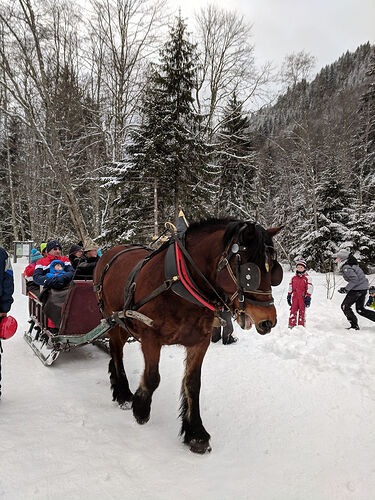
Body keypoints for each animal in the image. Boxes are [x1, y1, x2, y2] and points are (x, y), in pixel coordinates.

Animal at [94, 219, 282, 454]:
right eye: (250, 272)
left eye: (274, 270)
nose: (268, 321)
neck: (180, 285)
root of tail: (112, 251)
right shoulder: (150, 337)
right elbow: (153, 378)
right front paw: (140, 408)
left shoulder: (200, 342)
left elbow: (193, 384)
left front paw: (195, 432)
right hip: (111, 318)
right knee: (117, 352)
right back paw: (123, 393)